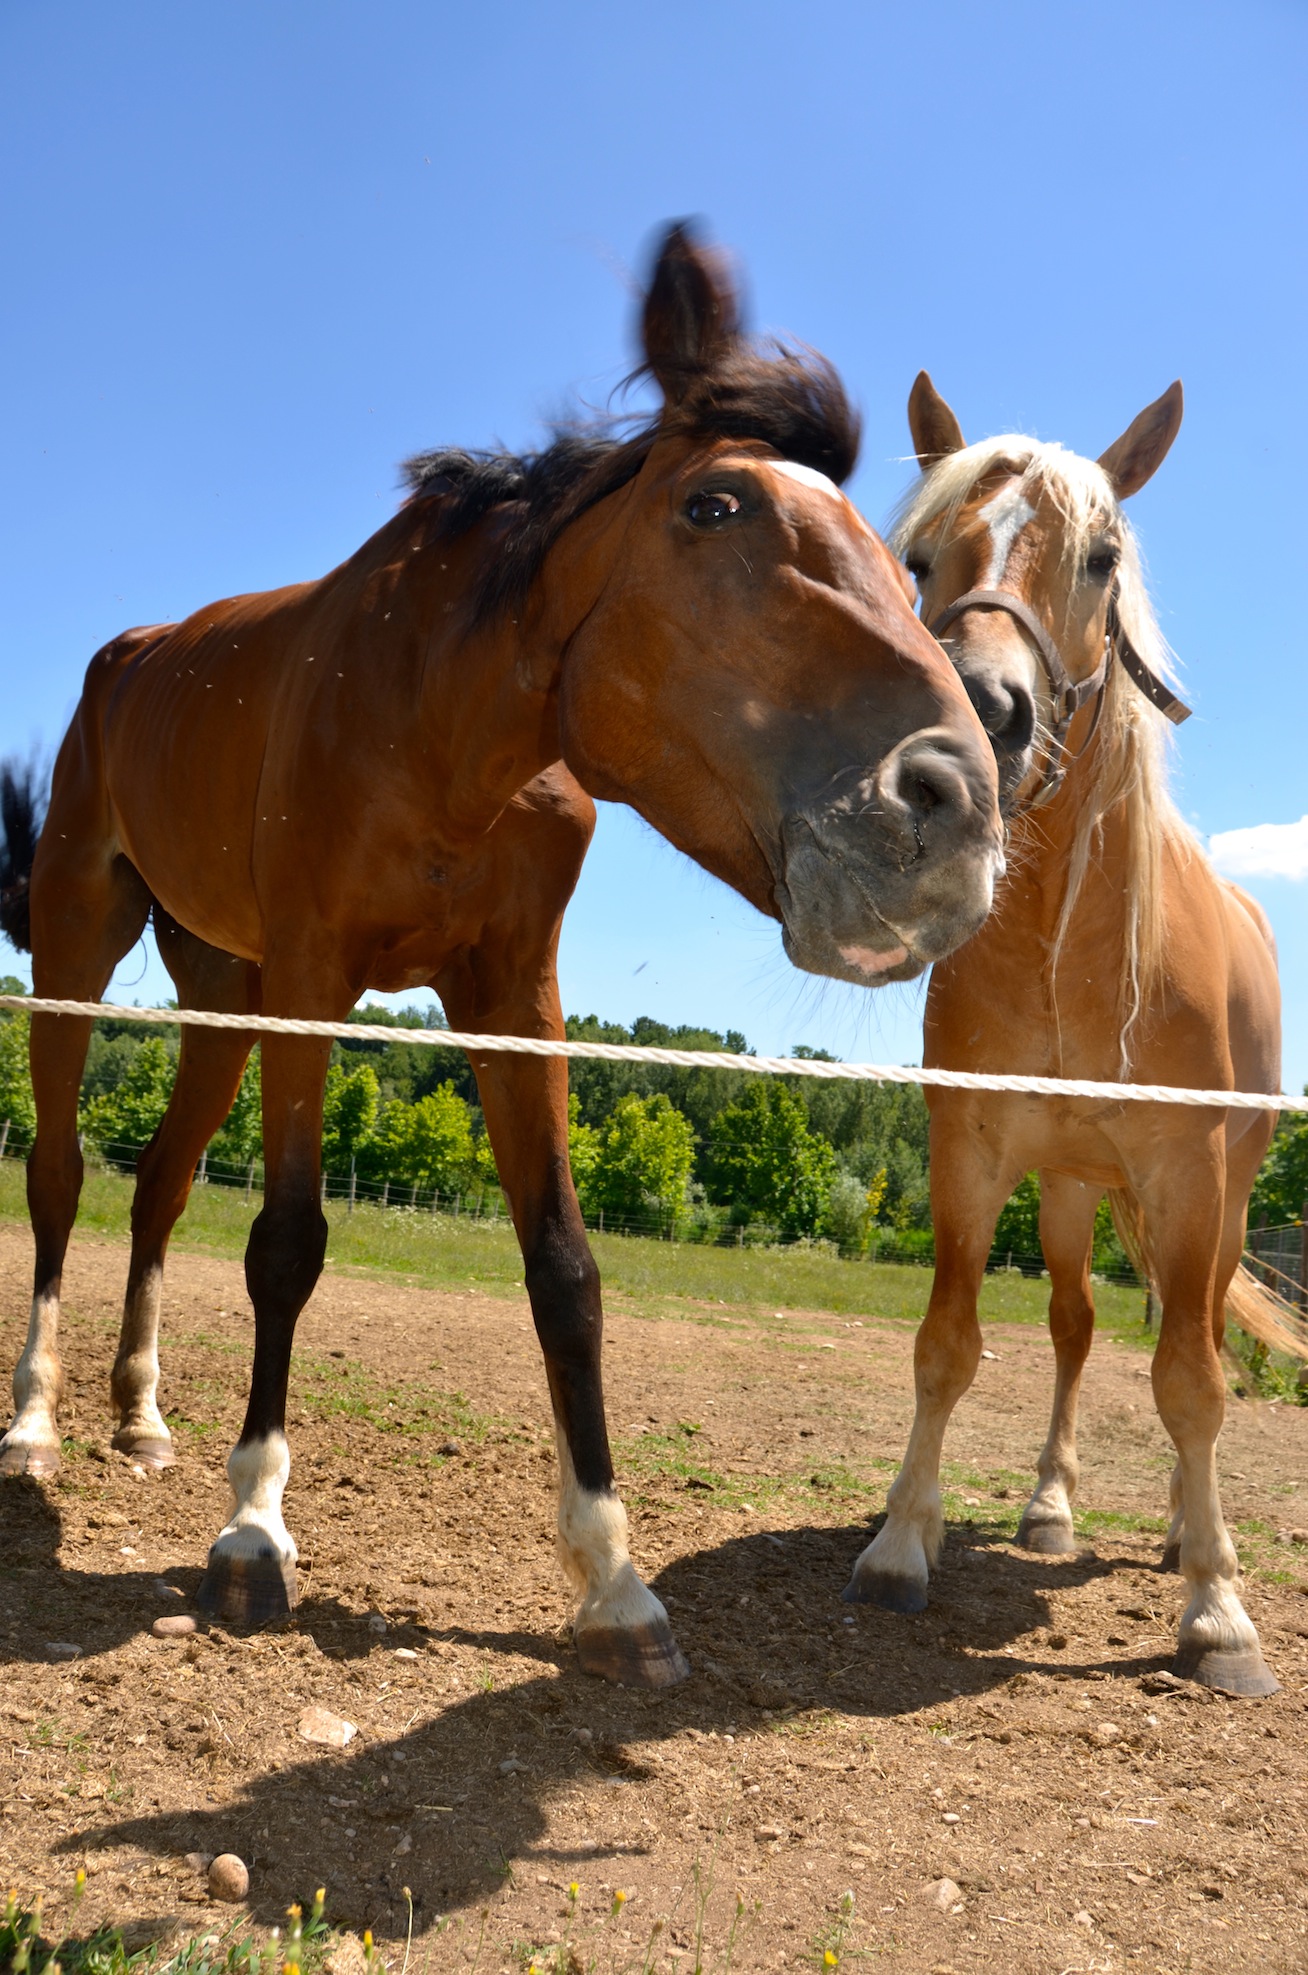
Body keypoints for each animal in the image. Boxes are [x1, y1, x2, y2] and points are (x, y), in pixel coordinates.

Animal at [0, 227, 1003, 1682]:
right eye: (715, 507)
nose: (952, 806)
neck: (432, 714)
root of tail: (128, 659)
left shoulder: (513, 993)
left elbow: (567, 1271)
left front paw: (615, 1577)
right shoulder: (316, 978)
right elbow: (288, 1241)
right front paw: (254, 1531)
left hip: (222, 991)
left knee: (162, 1186)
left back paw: (136, 1417)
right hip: (87, 943)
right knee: (65, 1173)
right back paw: (31, 1425)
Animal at [845, 373, 1288, 1698]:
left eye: (1101, 559)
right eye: (919, 557)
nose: (979, 717)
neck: (1066, 949)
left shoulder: (1188, 1178)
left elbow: (1192, 1382)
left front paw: (1217, 1612)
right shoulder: (971, 1153)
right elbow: (948, 1344)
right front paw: (904, 1538)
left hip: (1221, 1196)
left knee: (1192, 1339)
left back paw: (1194, 1538)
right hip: (1072, 1188)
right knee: (1077, 1329)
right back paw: (1049, 1506)